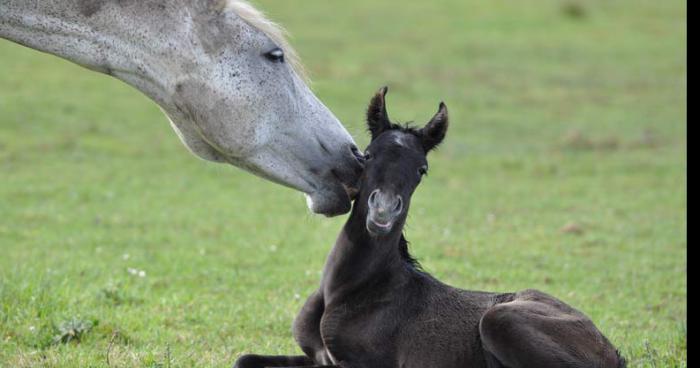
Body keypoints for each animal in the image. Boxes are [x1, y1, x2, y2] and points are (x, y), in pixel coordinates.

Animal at [234, 87, 624, 366]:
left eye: (422, 169)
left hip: (500, 320)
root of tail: (609, 349)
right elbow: (244, 359)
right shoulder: (315, 357)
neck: (346, 290)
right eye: (367, 155)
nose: (382, 213)